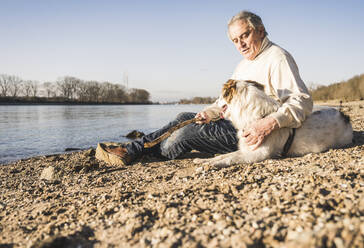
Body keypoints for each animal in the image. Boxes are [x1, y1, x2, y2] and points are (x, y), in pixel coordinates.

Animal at [193, 80, 352, 168]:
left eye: (220, 97)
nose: (213, 103)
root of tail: (344, 115)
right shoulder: (247, 149)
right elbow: (224, 155)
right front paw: (204, 160)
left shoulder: (259, 154)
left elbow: (231, 158)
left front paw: (211, 164)